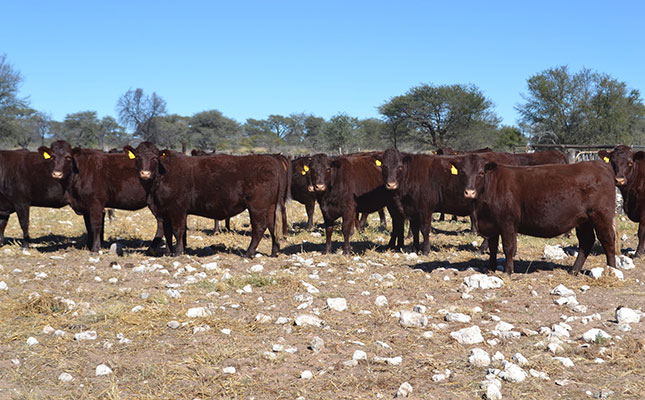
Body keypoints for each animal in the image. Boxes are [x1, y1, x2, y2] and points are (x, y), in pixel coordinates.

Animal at [125, 142, 287, 257]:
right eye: (138, 157)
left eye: (155, 158)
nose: (145, 173)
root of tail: (269, 159)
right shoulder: (163, 212)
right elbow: (167, 231)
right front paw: (168, 252)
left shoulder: (177, 209)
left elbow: (178, 230)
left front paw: (178, 252)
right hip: (270, 206)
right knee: (272, 226)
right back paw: (274, 252)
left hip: (257, 206)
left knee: (259, 227)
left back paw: (249, 253)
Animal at [459, 153, 616, 275]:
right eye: (462, 172)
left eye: (481, 173)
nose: (469, 192)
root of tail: (600, 165)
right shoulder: (491, 224)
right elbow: (492, 248)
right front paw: (491, 269)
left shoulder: (507, 222)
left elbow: (508, 247)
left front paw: (507, 271)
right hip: (584, 220)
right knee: (586, 241)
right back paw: (574, 270)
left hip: (601, 216)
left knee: (607, 240)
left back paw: (612, 270)